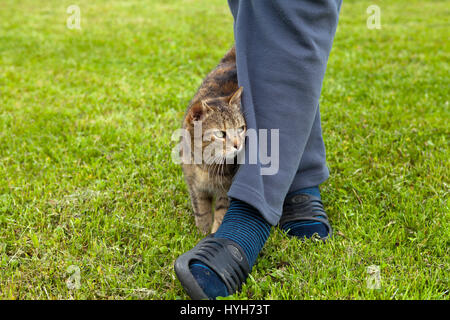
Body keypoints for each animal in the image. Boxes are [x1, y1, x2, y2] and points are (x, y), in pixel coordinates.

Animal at [181, 46, 248, 234]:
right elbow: (201, 212)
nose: (238, 145)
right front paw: (201, 234)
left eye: (241, 129)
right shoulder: (195, 188)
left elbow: (220, 213)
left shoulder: (226, 190)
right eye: (220, 134)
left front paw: (213, 233)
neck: (206, 165)